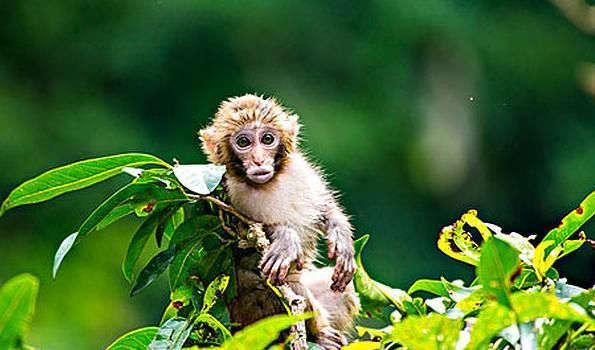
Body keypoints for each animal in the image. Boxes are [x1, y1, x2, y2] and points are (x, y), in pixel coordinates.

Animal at [201, 93, 358, 348]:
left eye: (267, 139)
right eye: (243, 142)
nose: (258, 160)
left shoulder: (300, 169)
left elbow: (324, 207)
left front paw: (341, 237)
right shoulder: (224, 192)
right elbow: (243, 236)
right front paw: (285, 239)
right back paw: (319, 336)